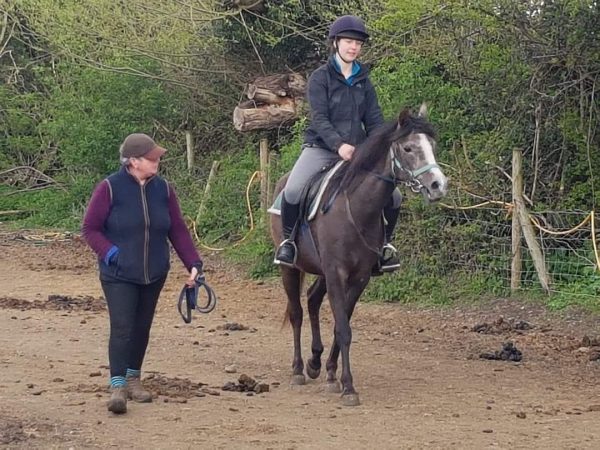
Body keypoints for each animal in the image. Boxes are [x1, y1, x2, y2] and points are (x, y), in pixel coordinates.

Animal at [270, 103, 448, 406]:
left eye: (432, 145)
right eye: (409, 148)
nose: (438, 185)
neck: (355, 208)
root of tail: (281, 184)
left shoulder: (359, 277)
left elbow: (341, 326)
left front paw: (334, 375)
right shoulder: (336, 272)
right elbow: (343, 329)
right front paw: (349, 387)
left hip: (322, 271)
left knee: (313, 300)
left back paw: (316, 363)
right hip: (290, 268)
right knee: (297, 312)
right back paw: (298, 369)